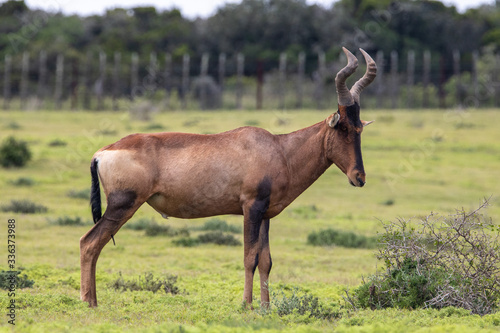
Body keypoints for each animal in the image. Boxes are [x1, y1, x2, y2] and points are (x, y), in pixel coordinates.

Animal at [81, 46, 376, 306]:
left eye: (360, 128)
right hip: (122, 205)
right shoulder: (251, 208)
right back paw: (89, 302)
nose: (359, 177)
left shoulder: (265, 214)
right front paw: (246, 305)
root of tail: (102, 152)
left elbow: (266, 260)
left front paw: (266, 307)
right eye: (343, 128)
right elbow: (249, 258)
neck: (279, 149)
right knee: (90, 243)